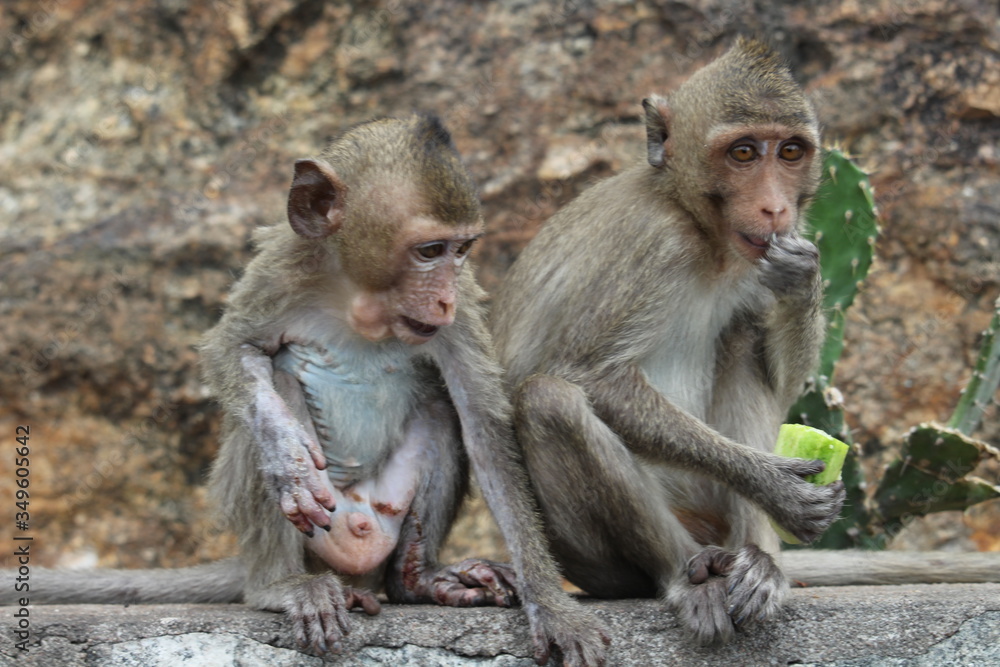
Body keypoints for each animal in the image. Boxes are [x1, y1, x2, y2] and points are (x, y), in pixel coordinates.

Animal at [13, 116, 608, 667]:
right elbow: (233, 350)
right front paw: (287, 457)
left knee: (440, 407)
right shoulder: (280, 269)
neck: (361, 297)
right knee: (272, 386)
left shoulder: (462, 307)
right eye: (429, 250)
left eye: (460, 250)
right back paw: (279, 586)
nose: (443, 300)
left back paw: (420, 578)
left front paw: (551, 604)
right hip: (312, 538)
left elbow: (483, 427)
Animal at [488, 37, 840, 648]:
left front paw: (803, 276)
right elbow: (587, 373)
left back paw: (758, 560)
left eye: (791, 152)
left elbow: (781, 380)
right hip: (595, 554)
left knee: (741, 336)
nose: (775, 208)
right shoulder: (655, 245)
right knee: (550, 400)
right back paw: (686, 574)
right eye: (743, 153)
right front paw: (776, 487)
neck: (702, 231)